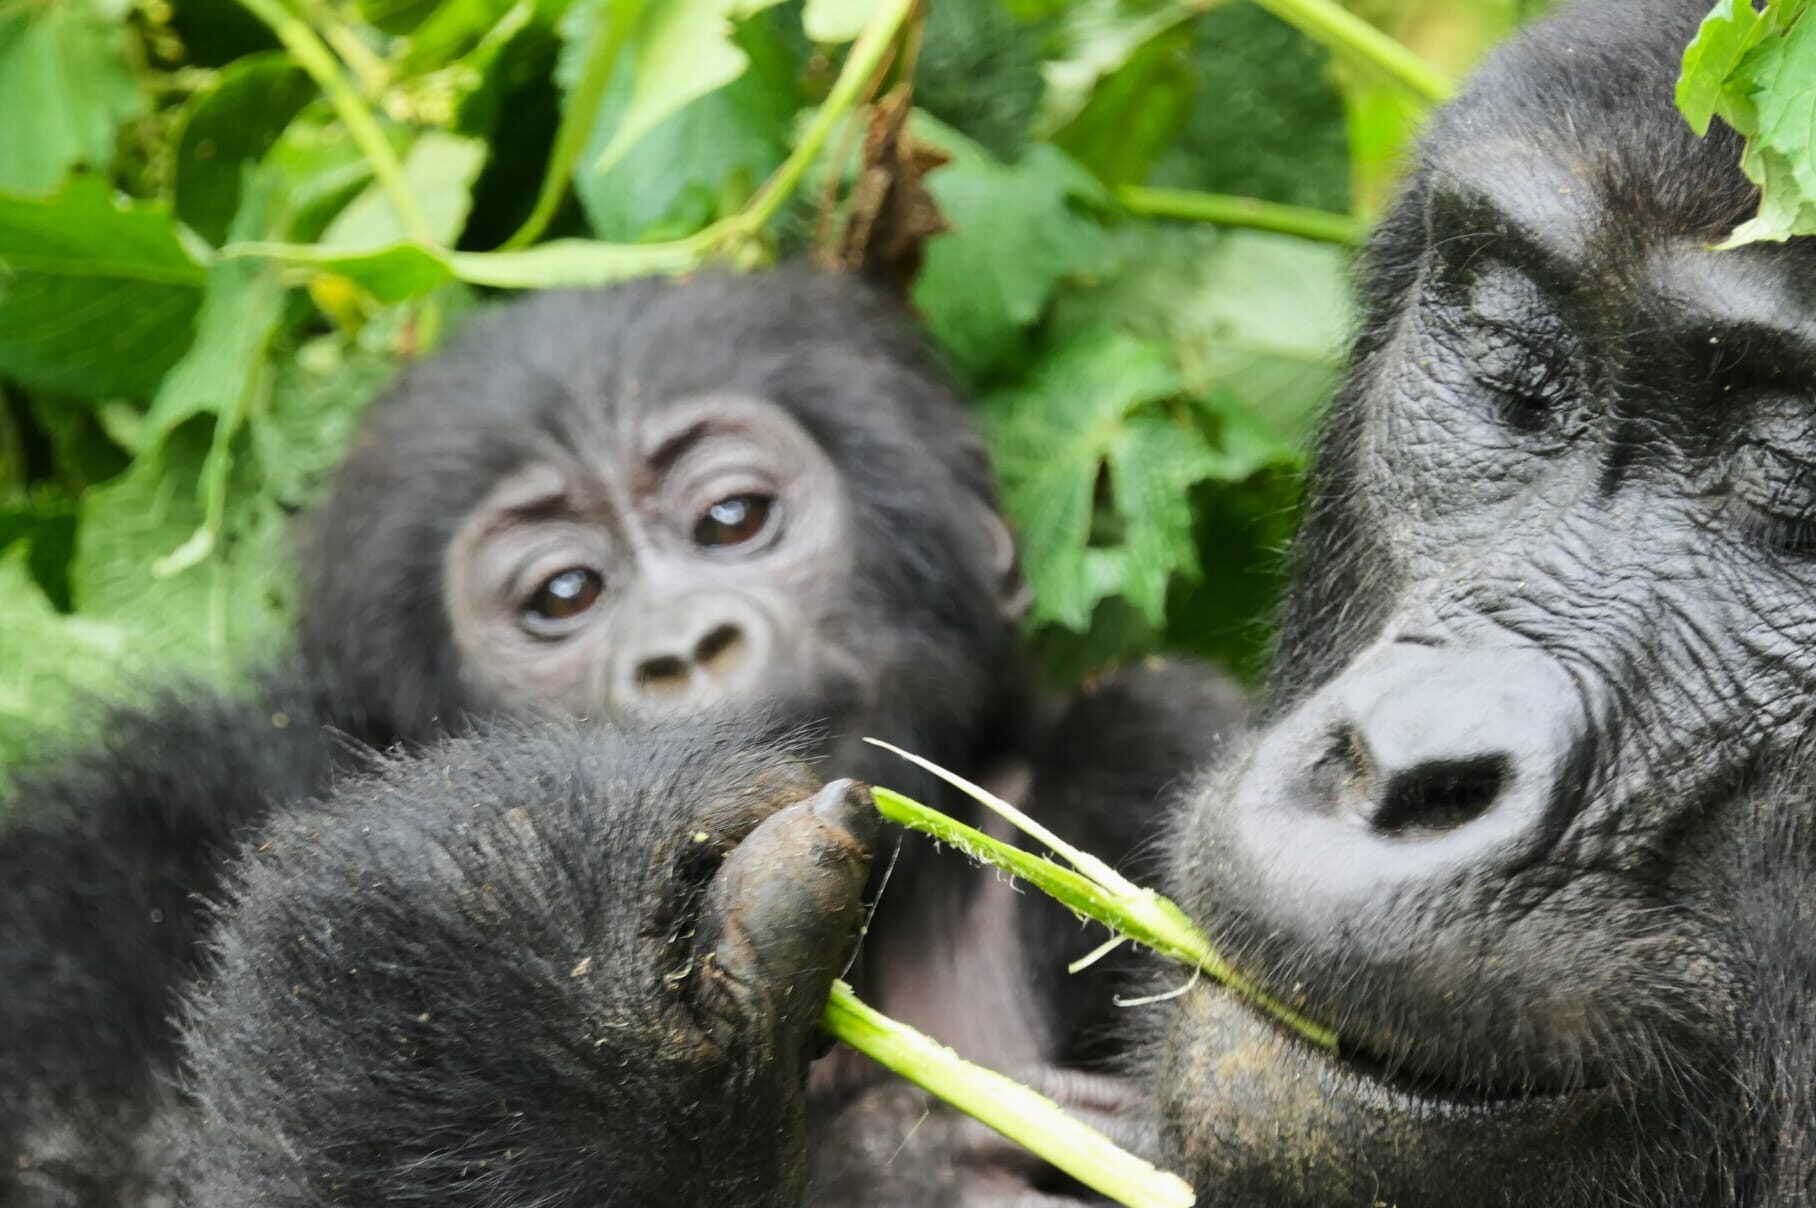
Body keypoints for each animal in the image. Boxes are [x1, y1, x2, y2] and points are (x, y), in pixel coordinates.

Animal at [0, 268, 1242, 1198]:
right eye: (565, 594)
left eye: (732, 519)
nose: (682, 646)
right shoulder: (115, 856)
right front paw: (533, 950)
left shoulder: (1157, 741)